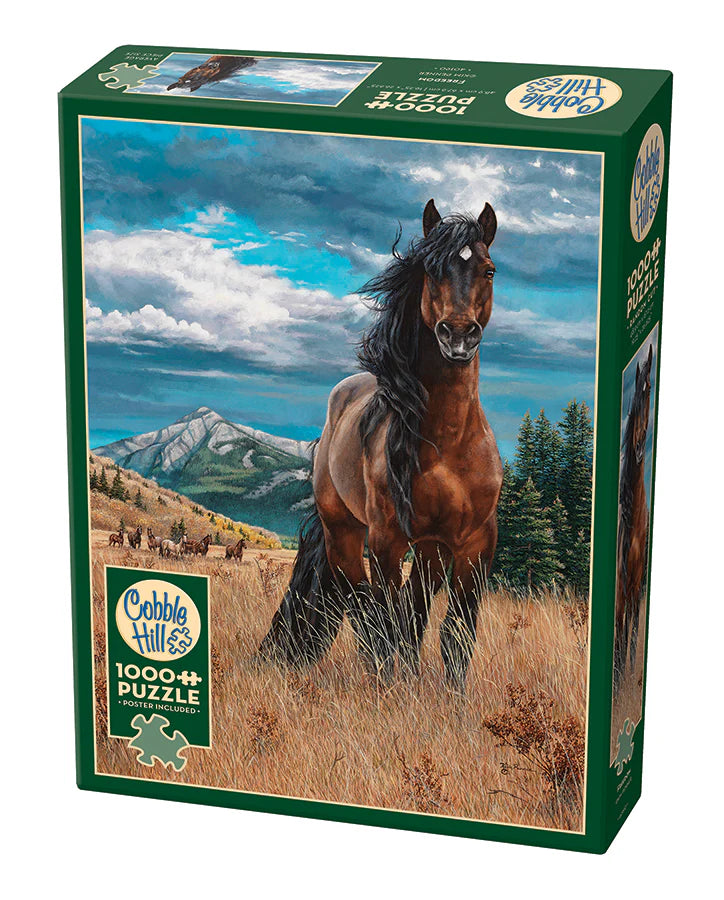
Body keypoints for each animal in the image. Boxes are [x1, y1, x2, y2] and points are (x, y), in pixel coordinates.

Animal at [259, 200, 503, 692]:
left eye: (488, 270)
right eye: (431, 269)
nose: (458, 335)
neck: (449, 442)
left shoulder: (476, 542)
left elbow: (455, 633)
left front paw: (451, 700)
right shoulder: (388, 540)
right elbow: (386, 618)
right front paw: (394, 689)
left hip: (429, 550)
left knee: (410, 611)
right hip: (345, 534)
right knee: (362, 604)